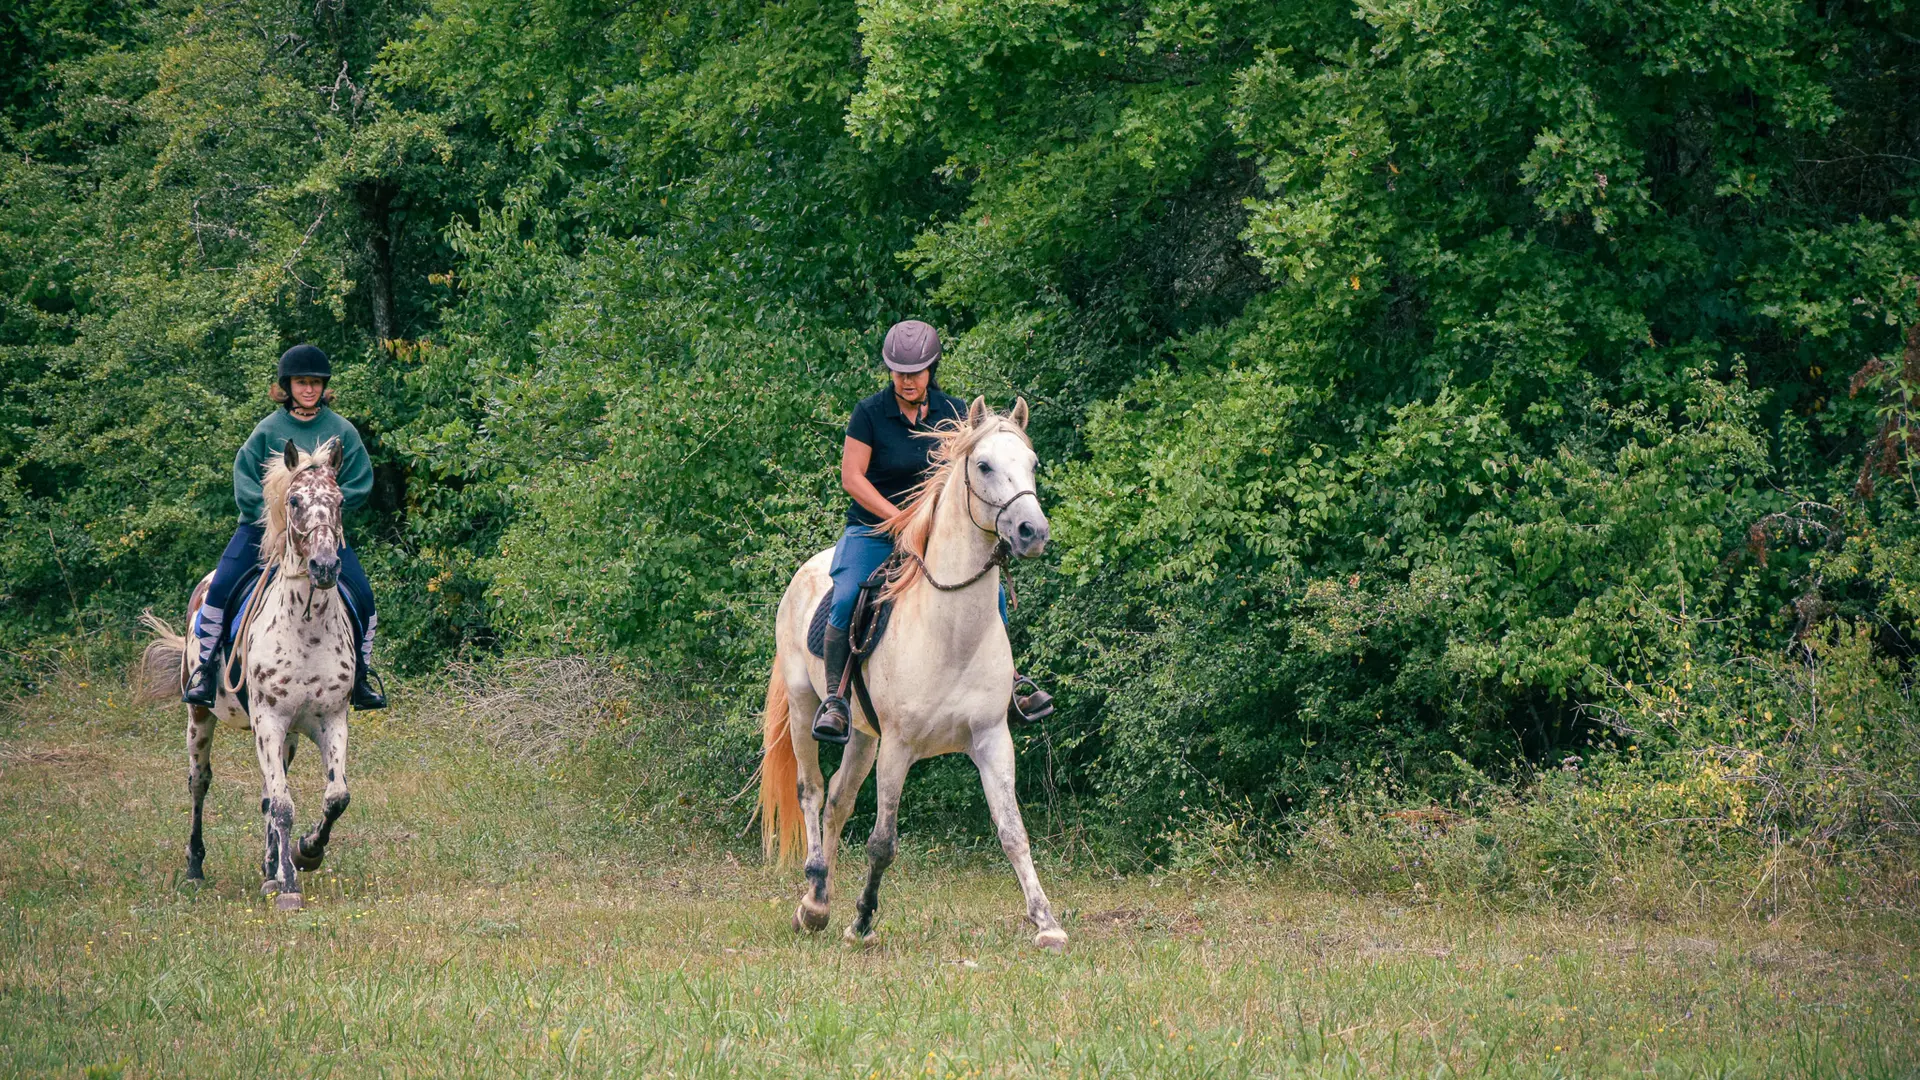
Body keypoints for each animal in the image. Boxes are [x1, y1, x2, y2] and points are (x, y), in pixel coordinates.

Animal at [140, 440, 360, 907]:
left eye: (339, 502)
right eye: (294, 501)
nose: (325, 566)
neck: (307, 629)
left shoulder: (330, 721)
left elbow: (334, 796)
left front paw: (305, 854)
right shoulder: (268, 721)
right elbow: (283, 805)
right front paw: (290, 887)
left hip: (287, 736)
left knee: (267, 794)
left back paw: (270, 868)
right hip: (200, 719)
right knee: (200, 783)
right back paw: (195, 869)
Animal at [760, 399, 1067, 945]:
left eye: (1032, 464)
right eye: (983, 465)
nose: (1032, 533)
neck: (951, 633)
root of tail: (806, 572)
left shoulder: (992, 738)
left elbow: (1013, 832)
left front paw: (1046, 923)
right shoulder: (899, 747)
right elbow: (883, 842)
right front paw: (862, 920)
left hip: (863, 735)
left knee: (838, 799)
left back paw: (820, 897)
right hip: (802, 706)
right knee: (812, 791)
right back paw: (814, 904)